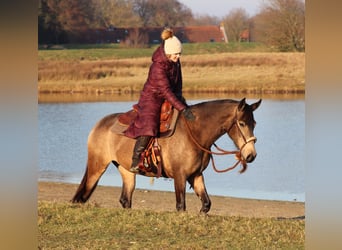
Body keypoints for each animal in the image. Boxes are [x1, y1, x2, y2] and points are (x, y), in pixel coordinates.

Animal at [71, 97, 260, 213]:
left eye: (254, 123)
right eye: (242, 123)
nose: (251, 155)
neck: (194, 134)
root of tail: (100, 124)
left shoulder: (195, 175)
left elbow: (206, 204)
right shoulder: (180, 176)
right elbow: (181, 205)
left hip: (126, 171)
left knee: (125, 200)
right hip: (97, 166)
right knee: (82, 196)